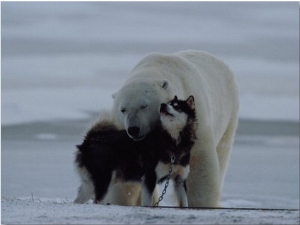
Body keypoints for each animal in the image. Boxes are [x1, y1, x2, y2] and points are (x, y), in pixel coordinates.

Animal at [109, 50, 238, 207]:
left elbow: (199, 164)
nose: (133, 129)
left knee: (222, 151)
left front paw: (200, 203)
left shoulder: (194, 123)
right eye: (123, 109)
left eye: (144, 105)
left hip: (229, 112)